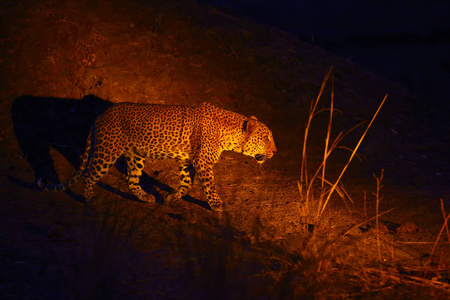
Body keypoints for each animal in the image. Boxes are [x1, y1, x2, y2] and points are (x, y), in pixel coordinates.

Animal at [38, 102, 276, 210]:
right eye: (266, 138)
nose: (275, 151)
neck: (230, 134)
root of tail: (100, 115)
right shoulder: (202, 162)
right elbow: (209, 185)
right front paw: (217, 205)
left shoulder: (186, 161)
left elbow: (187, 184)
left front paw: (171, 197)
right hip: (107, 151)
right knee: (89, 174)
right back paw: (89, 199)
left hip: (135, 155)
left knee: (131, 180)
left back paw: (145, 197)